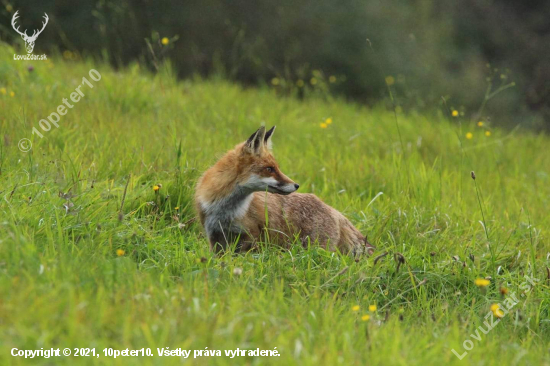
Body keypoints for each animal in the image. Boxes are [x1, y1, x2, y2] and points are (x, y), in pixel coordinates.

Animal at [194, 127, 376, 256]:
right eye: (270, 169)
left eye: (277, 168)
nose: (296, 185)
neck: (225, 209)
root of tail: (334, 210)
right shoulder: (215, 237)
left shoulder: (251, 237)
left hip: (316, 249)